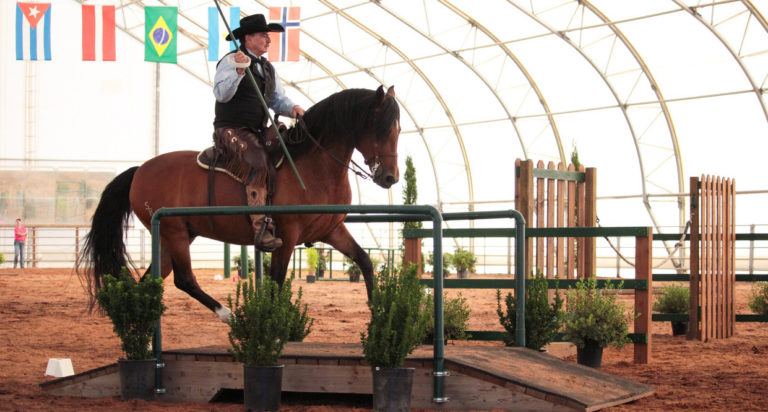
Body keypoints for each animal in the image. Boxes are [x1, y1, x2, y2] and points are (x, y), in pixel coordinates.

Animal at [77, 85, 401, 322]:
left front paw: (378, 313)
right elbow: (276, 281)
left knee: (151, 281)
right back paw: (230, 315)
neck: (313, 165)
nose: (390, 177)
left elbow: (365, 260)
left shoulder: (331, 230)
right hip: (174, 232)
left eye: (397, 130)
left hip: (175, 236)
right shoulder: (287, 237)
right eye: (381, 128)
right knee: (184, 279)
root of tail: (139, 171)